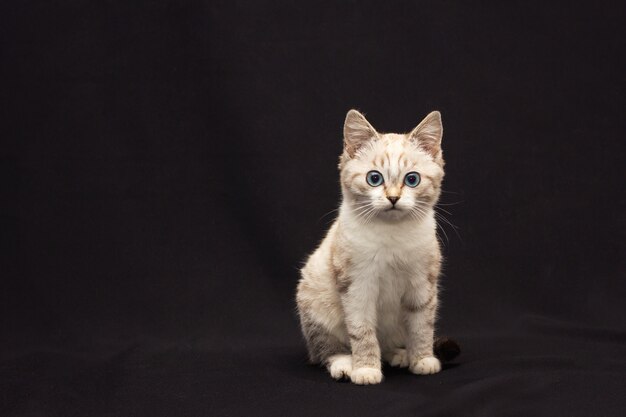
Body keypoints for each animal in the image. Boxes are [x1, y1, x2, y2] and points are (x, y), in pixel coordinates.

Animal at [294, 109, 456, 384]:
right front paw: (366, 370)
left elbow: (422, 327)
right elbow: (363, 332)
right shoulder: (357, 287)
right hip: (315, 303)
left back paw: (399, 355)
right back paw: (345, 365)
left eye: (412, 180)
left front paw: (422, 360)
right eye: (374, 178)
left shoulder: (421, 284)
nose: (393, 198)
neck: (392, 236)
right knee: (326, 350)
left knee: (389, 341)